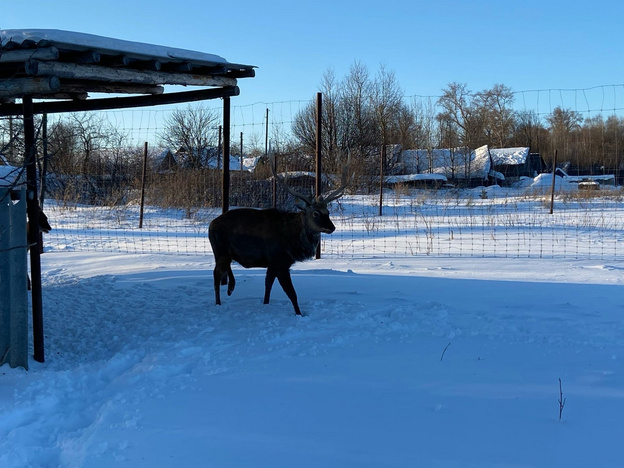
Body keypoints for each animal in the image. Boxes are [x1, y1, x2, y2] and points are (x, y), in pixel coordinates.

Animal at [208, 155, 346, 316]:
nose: (331, 227)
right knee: (216, 274)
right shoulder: (280, 261)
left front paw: (265, 304)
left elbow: (268, 285)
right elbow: (292, 293)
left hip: (226, 254)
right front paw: (299, 314)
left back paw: (230, 289)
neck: (293, 241)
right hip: (220, 251)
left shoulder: (272, 263)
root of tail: (210, 225)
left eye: (327, 212)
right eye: (315, 213)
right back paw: (218, 303)